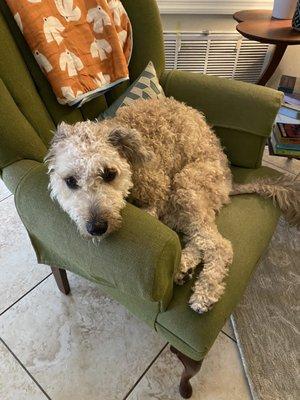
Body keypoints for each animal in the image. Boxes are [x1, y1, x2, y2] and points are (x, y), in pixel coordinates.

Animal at [45, 96, 300, 312]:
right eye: (70, 181)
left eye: (109, 173)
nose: (97, 227)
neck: (134, 165)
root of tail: (229, 183)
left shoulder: (160, 192)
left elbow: (153, 211)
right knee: (199, 237)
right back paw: (183, 267)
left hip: (185, 185)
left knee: (219, 244)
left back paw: (204, 292)